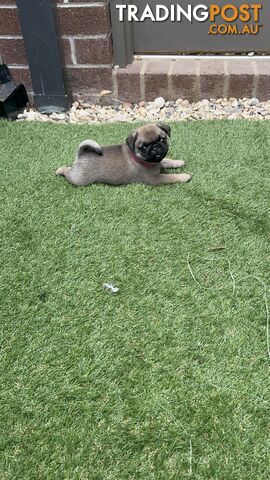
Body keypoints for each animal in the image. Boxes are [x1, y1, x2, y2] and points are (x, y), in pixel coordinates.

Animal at [56, 124, 192, 186]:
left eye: (162, 139)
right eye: (143, 147)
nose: (155, 147)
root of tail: (82, 155)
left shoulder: (158, 161)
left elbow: (166, 160)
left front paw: (178, 162)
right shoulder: (155, 179)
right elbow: (171, 177)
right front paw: (184, 176)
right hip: (78, 180)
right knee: (68, 172)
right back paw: (60, 170)